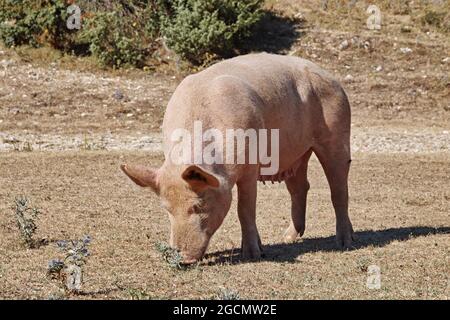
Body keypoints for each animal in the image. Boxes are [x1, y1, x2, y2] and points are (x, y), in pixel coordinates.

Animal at [122, 52, 356, 262]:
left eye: (198, 206)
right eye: (167, 209)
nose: (182, 258)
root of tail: (331, 77)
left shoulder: (250, 165)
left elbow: (244, 208)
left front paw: (253, 255)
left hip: (337, 133)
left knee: (338, 188)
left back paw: (345, 243)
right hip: (296, 154)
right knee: (300, 187)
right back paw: (288, 238)